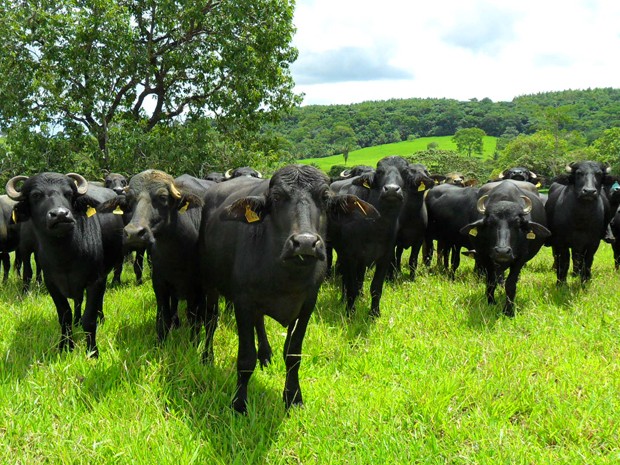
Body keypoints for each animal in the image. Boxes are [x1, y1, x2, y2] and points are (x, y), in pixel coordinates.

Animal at [6, 172, 124, 354]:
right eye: (35, 195)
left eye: (68, 193)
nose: (61, 215)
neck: (66, 257)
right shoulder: (52, 284)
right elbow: (64, 315)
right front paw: (65, 346)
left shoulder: (96, 281)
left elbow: (89, 318)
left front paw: (92, 351)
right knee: (78, 301)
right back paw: (77, 321)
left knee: (97, 301)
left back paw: (101, 317)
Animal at [200, 165, 372, 412]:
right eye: (277, 197)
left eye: (325, 197)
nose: (305, 243)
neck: (286, 275)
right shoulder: (243, 302)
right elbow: (245, 358)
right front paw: (239, 403)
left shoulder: (307, 304)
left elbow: (292, 354)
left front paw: (293, 397)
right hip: (209, 282)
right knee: (210, 321)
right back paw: (207, 357)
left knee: (259, 322)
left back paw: (265, 354)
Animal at [330, 156, 416, 316]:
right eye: (380, 172)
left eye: (405, 172)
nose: (392, 190)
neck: (375, 225)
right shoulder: (350, 256)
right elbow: (351, 286)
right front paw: (350, 312)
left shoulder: (385, 256)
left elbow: (376, 287)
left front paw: (375, 313)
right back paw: (344, 299)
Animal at [460, 179, 552, 314]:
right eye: (490, 223)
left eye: (517, 223)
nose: (502, 252)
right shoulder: (485, 257)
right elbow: (491, 282)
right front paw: (491, 303)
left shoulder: (520, 259)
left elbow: (510, 284)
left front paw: (508, 310)